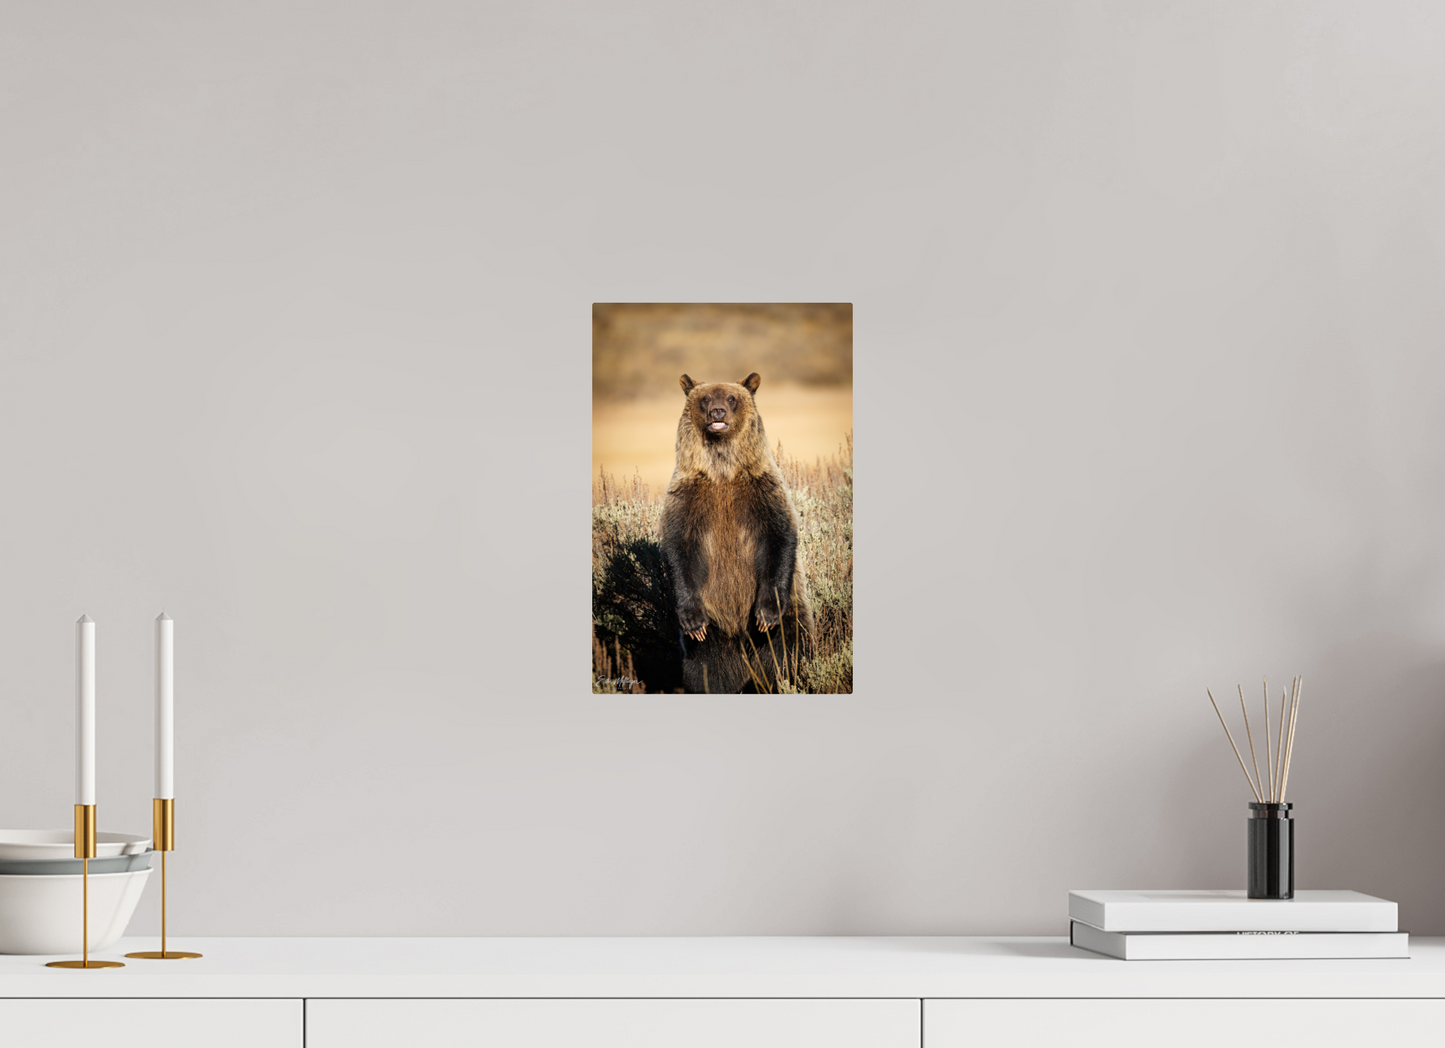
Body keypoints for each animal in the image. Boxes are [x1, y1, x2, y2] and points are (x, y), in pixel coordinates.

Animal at [660, 372, 813, 693]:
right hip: (714, 634)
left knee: (788, 654)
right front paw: (692, 621)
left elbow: (780, 535)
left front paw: (766, 614)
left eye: (732, 398)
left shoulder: (761, 489)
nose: (717, 412)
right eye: (705, 398)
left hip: (790, 618)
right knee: (706, 670)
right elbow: (679, 548)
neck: (723, 470)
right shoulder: (688, 496)